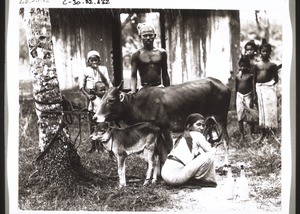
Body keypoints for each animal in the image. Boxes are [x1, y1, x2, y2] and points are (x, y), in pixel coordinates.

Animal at [94, 77, 232, 166]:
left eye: (111, 100)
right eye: (102, 98)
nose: (95, 117)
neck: (137, 105)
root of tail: (224, 85)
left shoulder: (166, 129)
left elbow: (169, 150)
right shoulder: (158, 132)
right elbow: (161, 153)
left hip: (220, 117)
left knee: (225, 139)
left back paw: (226, 164)